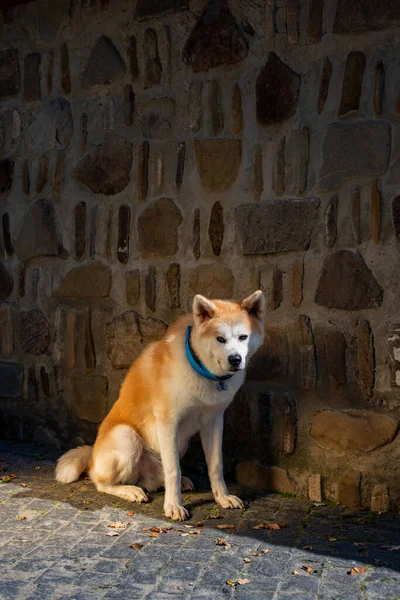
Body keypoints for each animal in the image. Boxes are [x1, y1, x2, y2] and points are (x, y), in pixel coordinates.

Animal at [54, 290, 266, 520]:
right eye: (220, 338)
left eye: (243, 337)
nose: (235, 359)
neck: (201, 369)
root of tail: (92, 455)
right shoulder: (168, 422)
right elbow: (173, 470)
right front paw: (173, 505)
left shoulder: (214, 421)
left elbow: (216, 465)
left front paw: (223, 497)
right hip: (127, 436)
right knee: (102, 483)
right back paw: (130, 491)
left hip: (178, 444)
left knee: (157, 478)